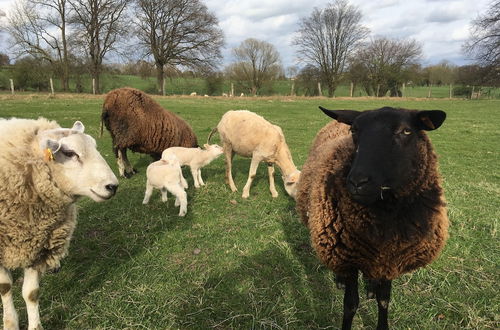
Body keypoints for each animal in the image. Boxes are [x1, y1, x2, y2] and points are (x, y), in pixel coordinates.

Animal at [296, 106, 450, 330]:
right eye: (354, 130)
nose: (357, 182)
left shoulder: (392, 260)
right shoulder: (349, 258)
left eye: (406, 131)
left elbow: (384, 299)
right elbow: (351, 304)